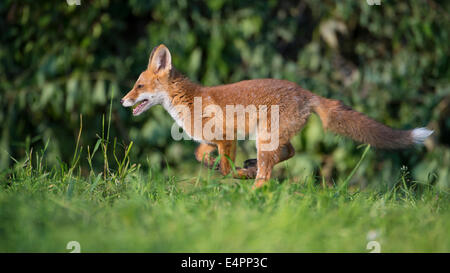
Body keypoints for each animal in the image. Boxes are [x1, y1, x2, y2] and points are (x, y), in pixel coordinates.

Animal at [121, 44, 434, 188]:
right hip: (270, 137)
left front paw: (234, 174)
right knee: (289, 152)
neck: (188, 100)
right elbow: (201, 154)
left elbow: (226, 168)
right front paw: (214, 164)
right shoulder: (215, 139)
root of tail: (305, 92)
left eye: (139, 86)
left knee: (268, 174)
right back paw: (251, 171)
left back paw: (253, 186)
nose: (123, 100)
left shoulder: (227, 138)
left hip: (264, 138)